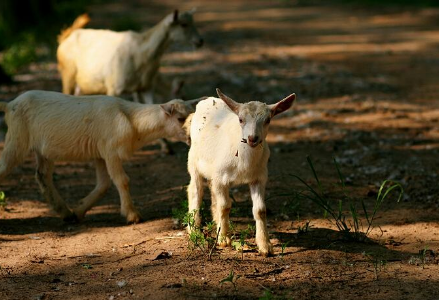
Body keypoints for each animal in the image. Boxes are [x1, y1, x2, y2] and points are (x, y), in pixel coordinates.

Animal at [0, 90, 202, 224]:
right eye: (180, 118)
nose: (192, 138)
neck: (133, 121)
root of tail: (9, 105)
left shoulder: (100, 155)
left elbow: (103, 185)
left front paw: (79, 210)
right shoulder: (110, 151)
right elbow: (122, 180)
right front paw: (132, 215)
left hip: (43, 151)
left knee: (42, 176)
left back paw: (65, 212)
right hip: (16, 140)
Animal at [56, 9, 203, 103]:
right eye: (184, 24)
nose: (200, 41)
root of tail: (66, 35)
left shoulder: (145, 88)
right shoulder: (113, 88)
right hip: (67, 73)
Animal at [187, 88, 298, 255]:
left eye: (268, 120)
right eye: (240, 119)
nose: (252, 138)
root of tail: (208, 100)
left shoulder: (259, 178)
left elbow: (260, 210)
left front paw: (265, 246)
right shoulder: (221, 178)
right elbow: (225, 206)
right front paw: (224, 239)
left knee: (212, 193)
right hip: (194, 161)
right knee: (195, 190)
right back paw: (193, 229)